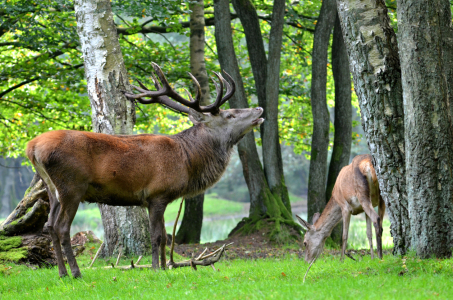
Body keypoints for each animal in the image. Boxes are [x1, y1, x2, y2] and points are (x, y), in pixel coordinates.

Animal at [26, 62, 264, 276]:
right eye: (229, 115)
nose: (259, 108)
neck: (188, 159)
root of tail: (32, 147)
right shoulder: (156, 194)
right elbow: (157, 235)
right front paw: (156, 268)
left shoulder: (161, 198)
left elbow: (165, 235)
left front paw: (165, 267)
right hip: (71, 186)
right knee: (62, 227)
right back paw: (75, 273)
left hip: (51, 188)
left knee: (49, 226)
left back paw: (62, 273)